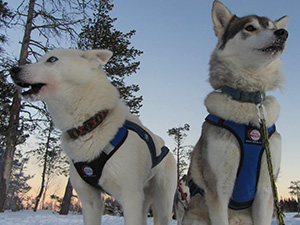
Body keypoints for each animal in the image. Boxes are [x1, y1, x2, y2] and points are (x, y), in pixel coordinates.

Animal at [10, 48, 177, 224]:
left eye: (52, 59)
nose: (13, 69)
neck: (90, 124)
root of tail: (163, 145)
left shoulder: (130, 198)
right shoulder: (89, 200)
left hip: (163, 203)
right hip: (144, 202)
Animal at [183, 0, 288, 224]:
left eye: (273, 26)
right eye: (250, 27)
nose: (283, 33)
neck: (248, 102)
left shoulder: (266, 190)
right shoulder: (219, 190)